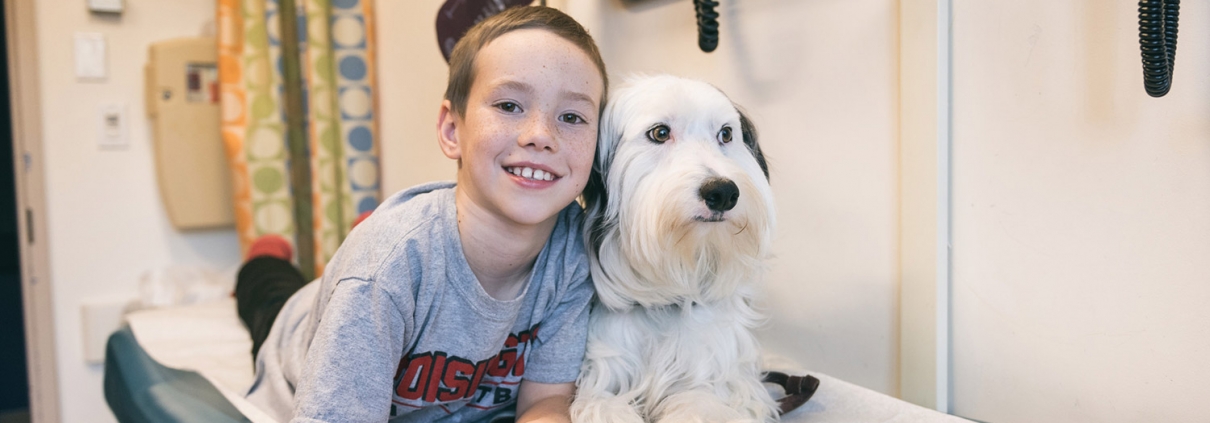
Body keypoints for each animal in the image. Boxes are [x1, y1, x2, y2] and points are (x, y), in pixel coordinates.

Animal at [571, 76, 779, 423]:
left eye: (726, 134)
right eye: (660, 133)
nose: (723, 192)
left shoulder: (718, 375)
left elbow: (703, 404)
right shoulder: (602, 375)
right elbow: (603, 404)